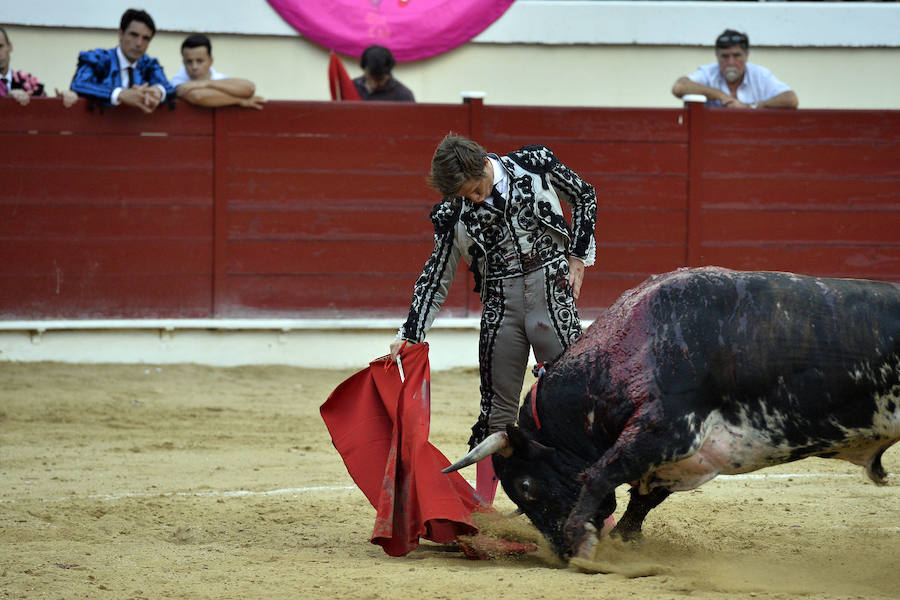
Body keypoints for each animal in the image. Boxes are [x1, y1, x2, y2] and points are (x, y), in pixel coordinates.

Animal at [444, 266, 900, 556]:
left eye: (524, 486)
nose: (560, 551)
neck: (634, 342)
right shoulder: (680, 455)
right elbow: (641, 500)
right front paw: (620, 542)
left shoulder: (670, 429)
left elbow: (600, 474)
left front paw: (584, 540)